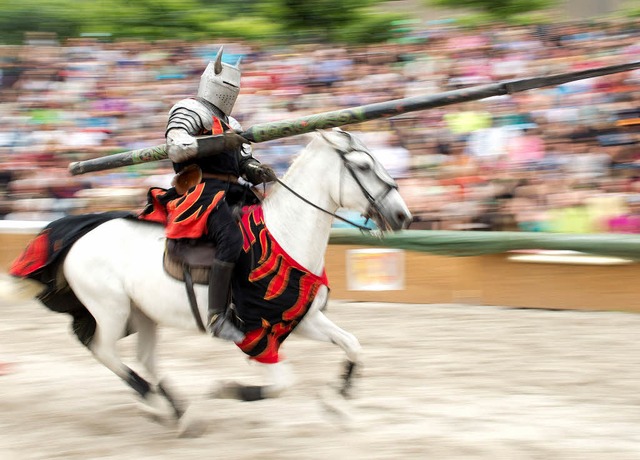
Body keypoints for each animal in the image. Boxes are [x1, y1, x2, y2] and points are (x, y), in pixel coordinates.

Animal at [2, 129, 412, 434]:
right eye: (363, 165)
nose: (402, 216)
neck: (285, 233)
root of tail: (83, 231)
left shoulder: (300, 320)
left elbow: (353, 346)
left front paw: (337, 403)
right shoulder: (257, 335)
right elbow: (282, 383)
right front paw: (225, 391)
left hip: (141, 315)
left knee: (142, 358)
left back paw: (173, 410)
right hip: (110, 309)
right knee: (103, 349)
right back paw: (158, 403)